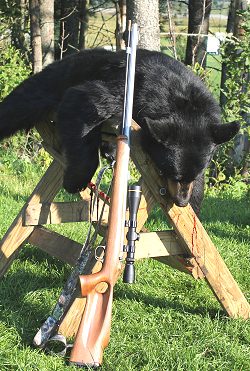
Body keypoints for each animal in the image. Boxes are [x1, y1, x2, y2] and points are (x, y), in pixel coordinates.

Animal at [0, 48, 239, 215]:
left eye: (189, 176)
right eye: (171, 173)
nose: (181, 201)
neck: (180, 103)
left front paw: (195, 205)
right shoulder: (130, 92)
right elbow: (82, 99)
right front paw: (75, 180)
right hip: (51, 83)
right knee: (18, 106)